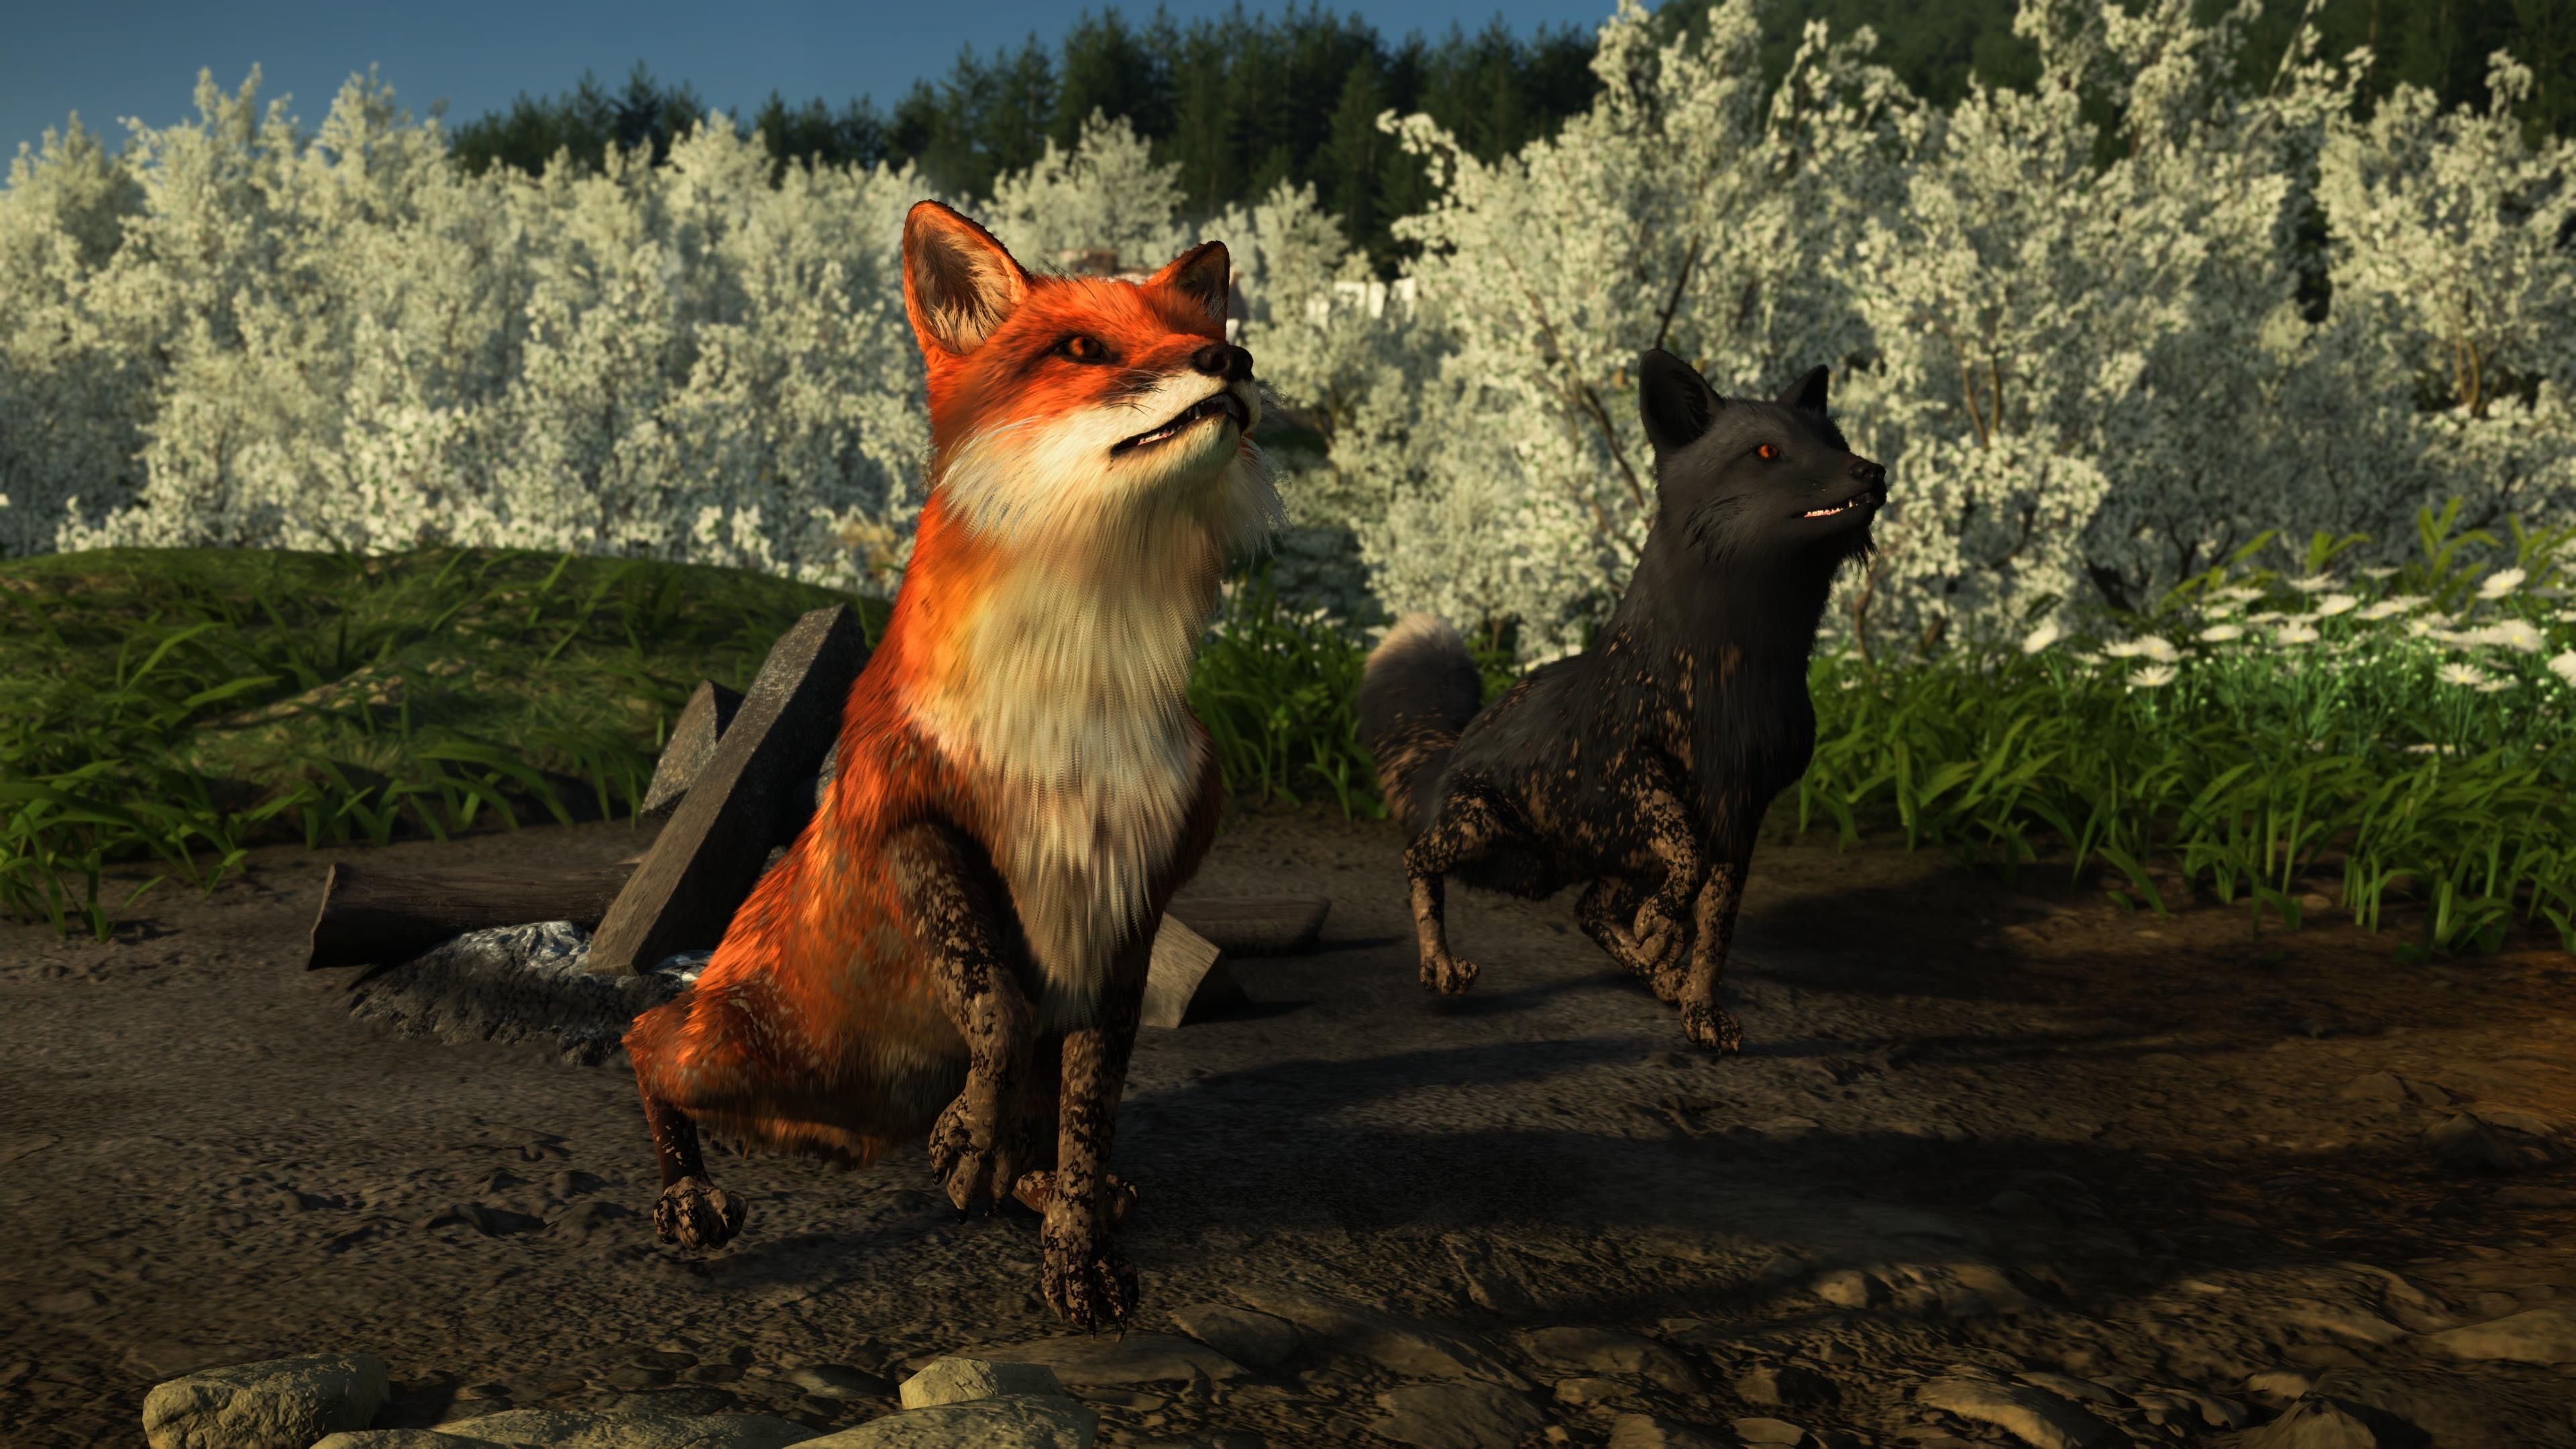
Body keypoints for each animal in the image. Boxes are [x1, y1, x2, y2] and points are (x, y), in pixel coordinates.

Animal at [620, 201, 1280, 1329]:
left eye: (1197, 332)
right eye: (1082, 349)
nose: (1230, 360)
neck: (1074, 704)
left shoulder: (1130, 897)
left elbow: (1090, 1109)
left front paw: (1078, 1258)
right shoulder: (904, 816)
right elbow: (995, 1002)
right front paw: (980, 1143)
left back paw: (1034, 1181)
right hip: (733, 1057)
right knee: (640, 1036)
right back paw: (690, 1195)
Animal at [1356, 350, 1885, 1053]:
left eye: (1836, 440)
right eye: (1768, 451)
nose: (1874, 470)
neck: (1731, 676)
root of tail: (1456, 746)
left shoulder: (1738, 811)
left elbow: (1714, 932)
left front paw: (1697, 1005)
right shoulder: (1627, 770)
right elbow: (1685, 859)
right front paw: (1665, 933)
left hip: (1609, 860)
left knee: (1588, 912)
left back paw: (1657, 972)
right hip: (1485, 829)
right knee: (1418, 858)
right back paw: (1440, 964)